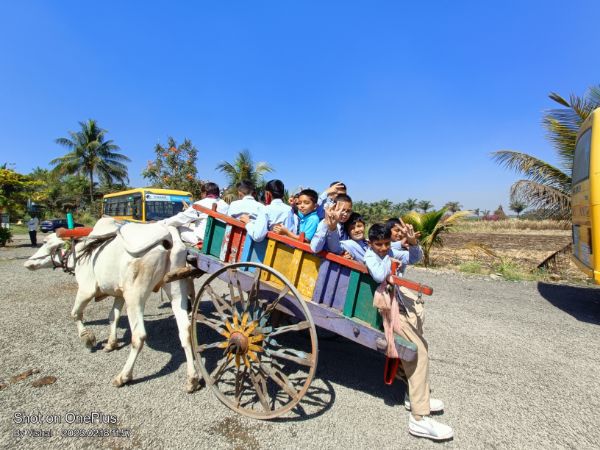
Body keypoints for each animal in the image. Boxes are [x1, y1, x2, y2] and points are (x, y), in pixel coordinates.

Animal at [24, 219, 200, 392]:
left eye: (46, 242)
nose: (27, 263)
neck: (80, 252)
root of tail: (167, 234)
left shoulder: (86, 289)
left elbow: (75, 313)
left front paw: (88, 339)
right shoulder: (119, 294)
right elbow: (112, 317)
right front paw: (110, 343)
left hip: (135, 295)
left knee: (139, 335)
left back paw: (123, 376)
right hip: (175, 287)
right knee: (185, 330)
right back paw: (192, 378)